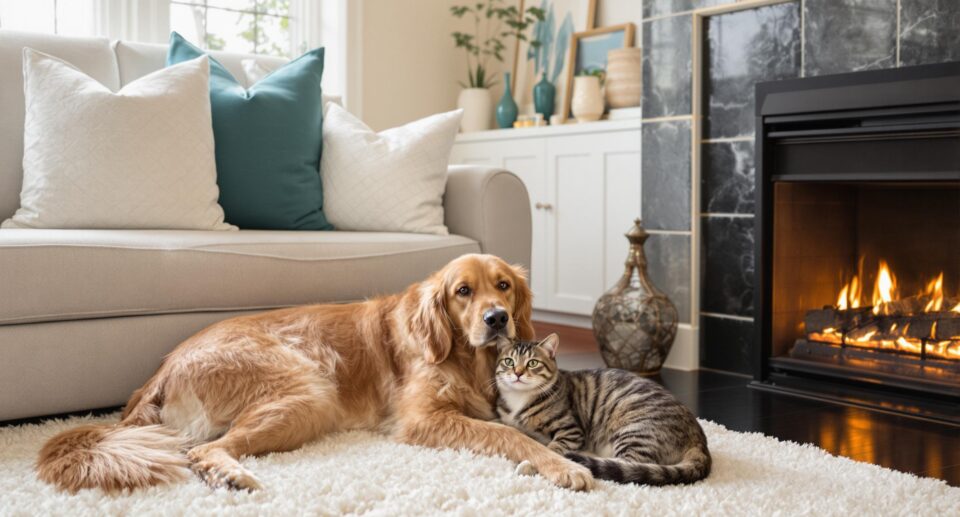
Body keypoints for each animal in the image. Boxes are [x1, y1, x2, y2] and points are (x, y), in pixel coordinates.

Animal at [35, 254, 592, 492]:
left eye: (504, 286)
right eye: (463, 292)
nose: (497, 319)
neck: (463, 357)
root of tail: (164, 367)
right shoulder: (423, 419)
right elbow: (508, 436)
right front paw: (563, 466)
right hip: (309, 393)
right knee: (202, 450)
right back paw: (230, 474)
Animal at [498, 332, 708, 486]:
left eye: (532, 363)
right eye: (509, 361)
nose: (517, 373)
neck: (519, 398)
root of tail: (699, 437)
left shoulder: (571, 431)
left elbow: (551, 449)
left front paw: (531, 463)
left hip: (636, 431)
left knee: (631, 465)